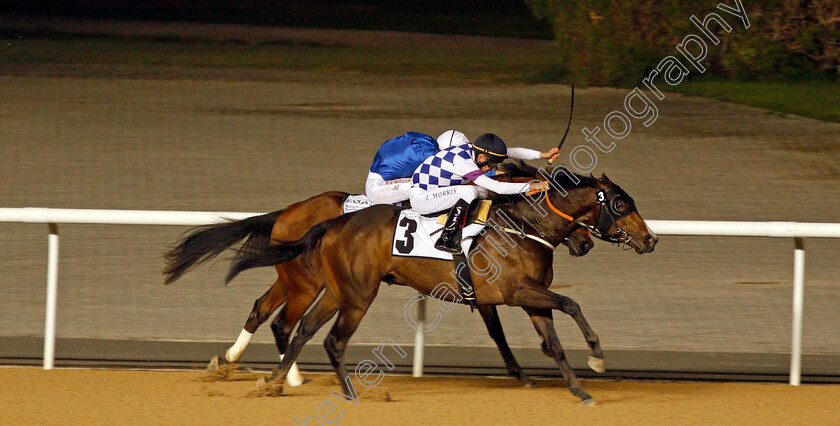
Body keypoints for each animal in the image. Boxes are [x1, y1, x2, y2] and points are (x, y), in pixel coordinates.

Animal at [162, 163, 596, 386]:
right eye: (557, 199)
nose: (584, 244)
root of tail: (288, 212)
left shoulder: (480, 286)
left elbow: (499, 331)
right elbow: (500, 330)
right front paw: (526, 372)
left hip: (293, 278)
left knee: (262, 310)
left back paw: (233, 361)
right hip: (306, 282)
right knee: (283, 322)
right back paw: (287, 376)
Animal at [228, 171, 656, 406]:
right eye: (620, 204)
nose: (650, 240)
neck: (523, 228)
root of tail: (330, 222)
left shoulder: (527, 298)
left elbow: (553, 342)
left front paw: (579, 391)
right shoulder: (517, 291)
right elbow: (571, 304)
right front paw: (597, 356)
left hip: (336, 290)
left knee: (299, 327)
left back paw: (276, 382)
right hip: (350, 292)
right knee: (325, 337)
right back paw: (346, 392)